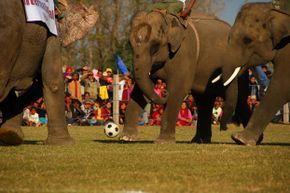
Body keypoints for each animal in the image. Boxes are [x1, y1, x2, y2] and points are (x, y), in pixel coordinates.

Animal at [120, 10, 233, 143]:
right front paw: (126, 137)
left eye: (155, 45)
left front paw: (163, 141)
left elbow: (177, 89)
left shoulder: (184, 54)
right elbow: (139, 91)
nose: (164, 92)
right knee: (203, 100)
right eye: (129, 44)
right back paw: (199, 141)